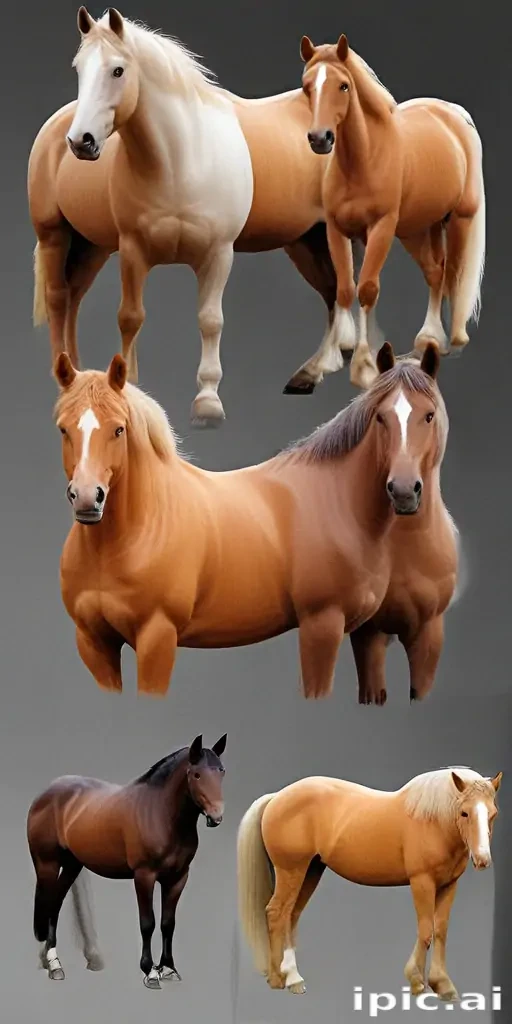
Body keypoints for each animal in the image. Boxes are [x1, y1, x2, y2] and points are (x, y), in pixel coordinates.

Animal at [26, 733, 227, 987]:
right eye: (197, 774)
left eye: (221, 771)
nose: (216, 816)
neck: (160, 813)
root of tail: (46, 793)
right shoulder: (144, 876)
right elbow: (148, 923)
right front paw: (150, 971)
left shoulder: (178, 878)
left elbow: (168, 923)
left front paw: (168, 968)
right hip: (47, 864)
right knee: (48, 900)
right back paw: (54, 963)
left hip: (72, 865)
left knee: (56, 901)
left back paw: (62, 961)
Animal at [28, 8, 376, 427]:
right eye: (79, 68)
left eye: (117, 70)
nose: (81, 142)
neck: (182, 158)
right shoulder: (132, 250)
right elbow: (130, 316)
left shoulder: (218, 253)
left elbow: (211, 320)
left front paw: (208, 402)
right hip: (57, 235)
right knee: (60, 298)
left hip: (310, 237)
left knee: (335, 291)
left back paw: (314, 371)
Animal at [237, 766, 502, 1001]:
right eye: (464, 813)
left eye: (493, 814)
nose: (482, 860)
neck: (433, 820)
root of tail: (277, 797)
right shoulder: (422, 882)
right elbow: (426, 931)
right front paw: (417, 982)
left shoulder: (449, 886)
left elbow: (441, 932)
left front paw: (443, 985)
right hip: (291, 871)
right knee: (276, 913)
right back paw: (276, 979)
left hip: (311, 871)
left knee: (291, 916)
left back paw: (294, 978)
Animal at [291, 34, 485, 393]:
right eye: (307, 86)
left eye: (343, 86)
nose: (320, 139)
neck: (363, 160)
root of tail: (452, 114)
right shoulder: (337, 230)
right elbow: (345, 288)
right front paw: (329, 361)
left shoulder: (381, 228)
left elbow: (367, 289)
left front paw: (364, 367)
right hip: (418, 228)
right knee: (436, 272)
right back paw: (427, 341)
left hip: (459, 219)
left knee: (455, 272)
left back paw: (454, 339)